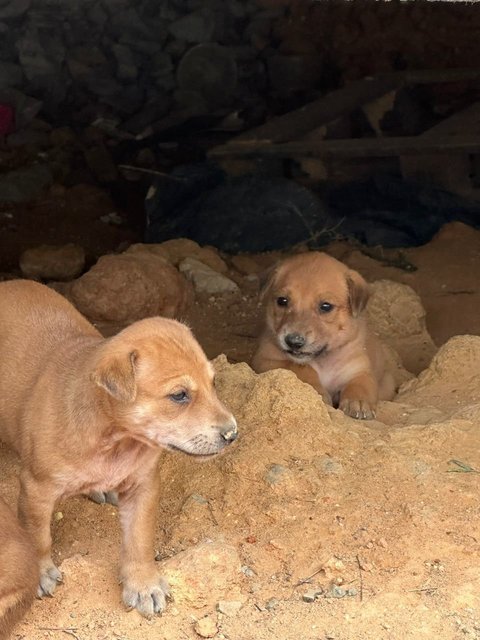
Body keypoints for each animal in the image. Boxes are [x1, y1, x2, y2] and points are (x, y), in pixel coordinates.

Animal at [0, 282, 238, 620]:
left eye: (214, 383)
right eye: (179, 395)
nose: (232, 433)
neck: (115, 439)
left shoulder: (143, 486)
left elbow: (139, 539)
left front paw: (143, 584)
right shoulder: (36, 488)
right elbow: (38, 536)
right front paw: (42, 572)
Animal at [251, 250, 394, 420]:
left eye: (326, 306)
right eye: (282, 301)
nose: (293, 341)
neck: (323, 360)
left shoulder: (359, 369)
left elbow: (362, 384)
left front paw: (358, 402)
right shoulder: (265, 360)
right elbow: (301, 368)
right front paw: (317, 391)